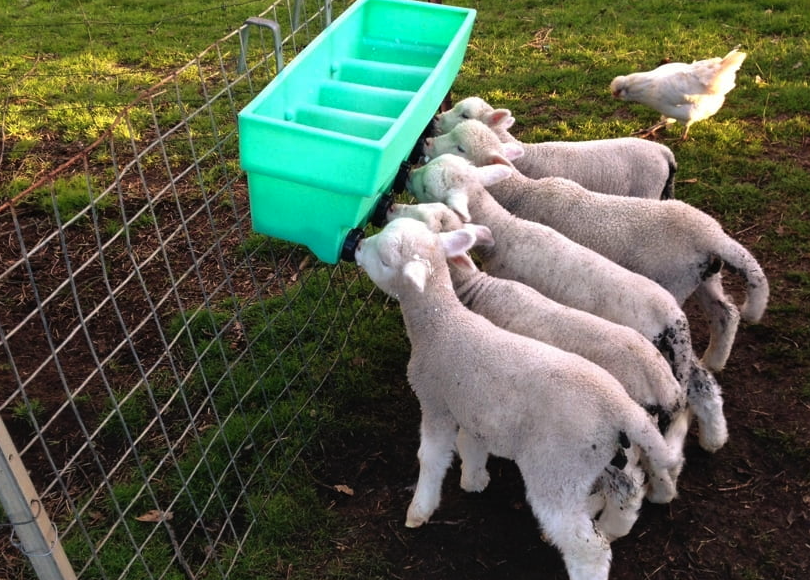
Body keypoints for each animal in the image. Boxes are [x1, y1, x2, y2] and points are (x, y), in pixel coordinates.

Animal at [422, 118, 772, 372]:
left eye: (460, 147)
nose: (426, 141)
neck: (519, 194)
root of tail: (713, 235)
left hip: (675, 281)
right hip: (702, 275)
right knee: (726, 313)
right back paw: (714, 361)